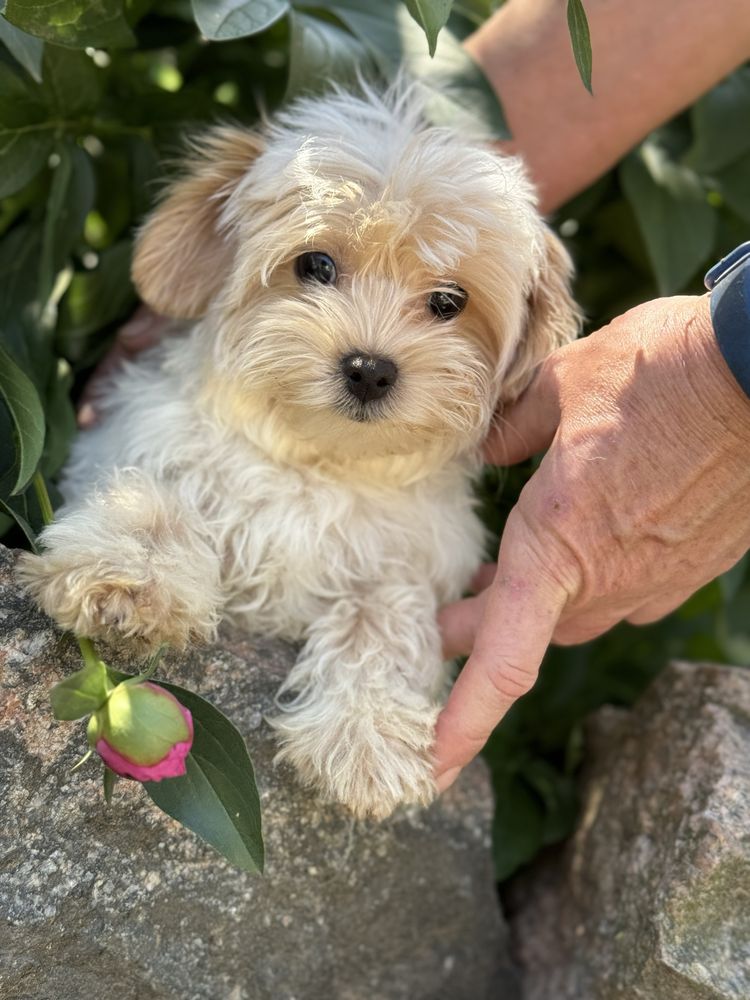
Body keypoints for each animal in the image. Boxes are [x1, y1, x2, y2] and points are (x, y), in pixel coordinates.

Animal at [17, 82, 580, 820]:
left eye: (448, 302)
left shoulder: (405, 561)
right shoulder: (145, 439)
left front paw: (367, 732)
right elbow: (156, 496)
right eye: (316, 265)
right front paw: (131, 578)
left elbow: (382, 613)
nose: (369, 368)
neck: (315, 464)